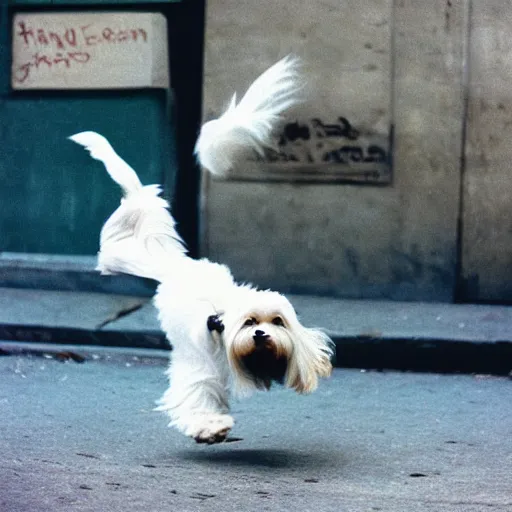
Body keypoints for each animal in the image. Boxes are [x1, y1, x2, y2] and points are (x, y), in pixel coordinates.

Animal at [70, 57, 332, 444]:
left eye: (277, 322)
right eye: (250, 322)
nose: (260, 334)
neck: (222, 321)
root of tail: (179, 266)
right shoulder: (199, 367)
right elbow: (198, 394)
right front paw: (210, 426)